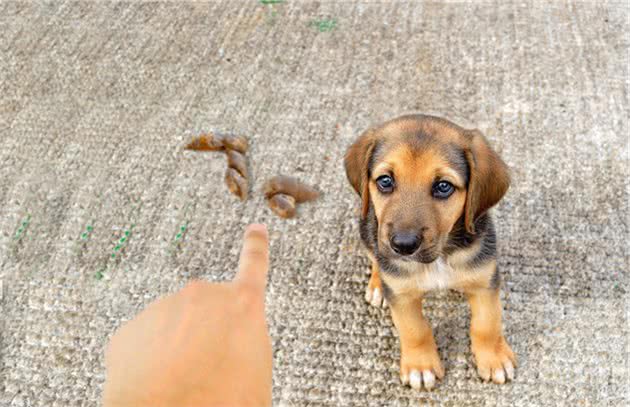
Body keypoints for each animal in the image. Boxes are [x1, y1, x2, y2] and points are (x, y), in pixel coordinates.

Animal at [346, 114, 520, 392]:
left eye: (443, 186)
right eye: (385, 181)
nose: (403, 246)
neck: (439, 257)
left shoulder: (485, 282)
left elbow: (487, 324)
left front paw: (494, 359)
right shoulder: (402, 295)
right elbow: (415, 330)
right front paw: (421, 366)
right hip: (366, 229)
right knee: (374, 257)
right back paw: (377, 285)